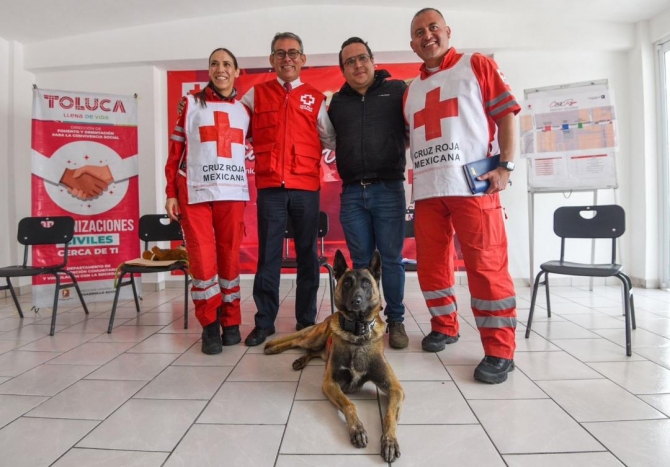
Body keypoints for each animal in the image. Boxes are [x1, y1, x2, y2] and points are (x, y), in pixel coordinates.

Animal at [266, 250, 406, 462]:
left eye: (366, 283)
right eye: (347, 282)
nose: (356, 301)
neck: (357, 334)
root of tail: (326, 319)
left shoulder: (395, 388)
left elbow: (390, 415)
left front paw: (389, 441)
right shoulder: (330, 383)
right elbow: (349, 405)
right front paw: (357, 430)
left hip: (321, 346)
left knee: (312, 352)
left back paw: (300, 361)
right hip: (313, 338)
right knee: (297, 341)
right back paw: (274, 349)